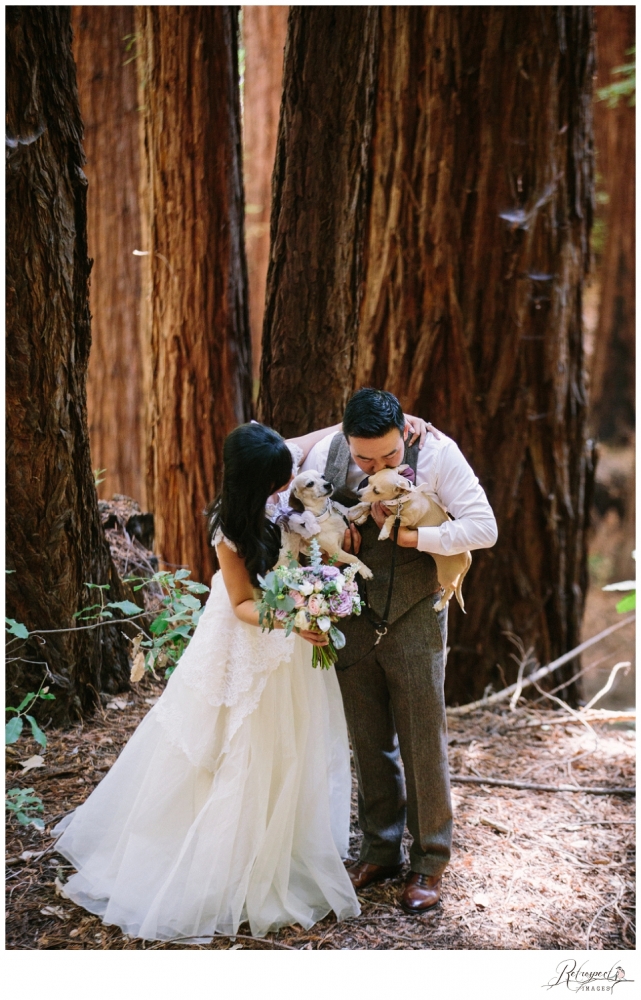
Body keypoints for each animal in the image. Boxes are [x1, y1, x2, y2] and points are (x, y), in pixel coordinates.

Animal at [360, 466, 470, 612]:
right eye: (369, 481)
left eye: (376, 491)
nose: (358, 494)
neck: (400, 499)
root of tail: (468, 555)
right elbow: (369, 506)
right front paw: (361, 518)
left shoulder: (404, 519)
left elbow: (390, 517)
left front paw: (384, 532)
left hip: (445, 575)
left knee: (452, 588)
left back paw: (440, 605)